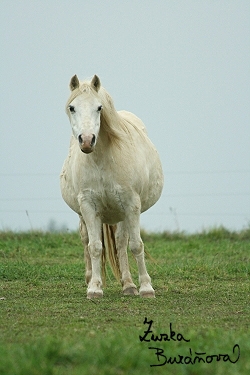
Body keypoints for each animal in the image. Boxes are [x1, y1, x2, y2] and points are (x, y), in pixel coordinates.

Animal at [59, 75, 163, 300]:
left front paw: (146, 288)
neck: (102, 160)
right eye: (72, 107)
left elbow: (136, 245)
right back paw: (90, 278)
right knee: (86, 240)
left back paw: (129, 285)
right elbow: (95, 247)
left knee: (121, 243)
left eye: (99, 107)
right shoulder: (88, 205)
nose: (86, 141)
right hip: (84, 214)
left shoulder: (131, 204)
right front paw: (95, 288)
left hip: (122, 213)